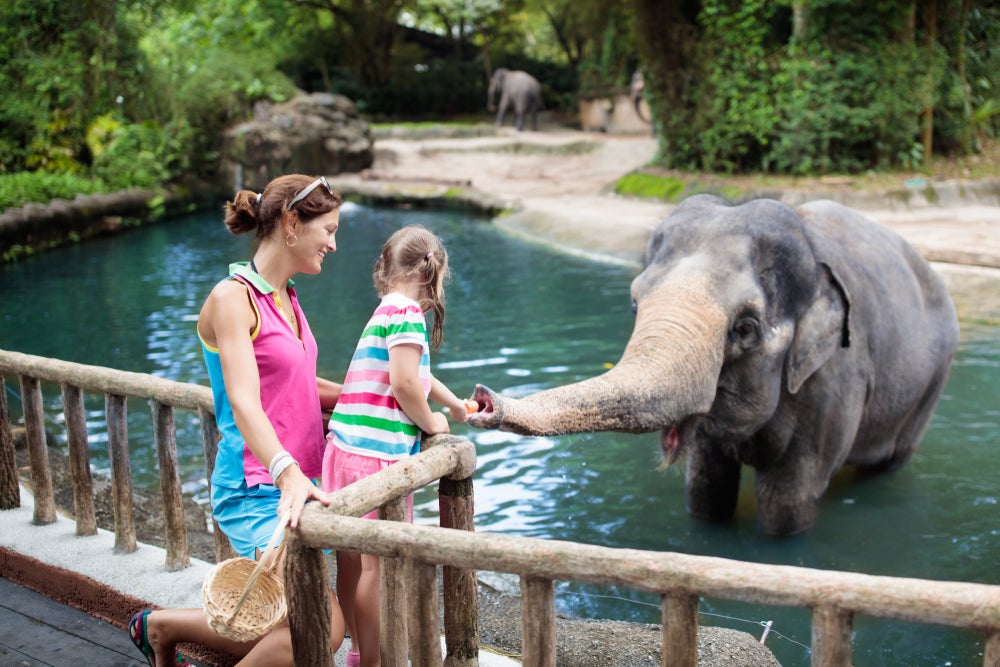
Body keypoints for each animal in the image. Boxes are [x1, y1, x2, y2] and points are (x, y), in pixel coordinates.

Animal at [470, 194, 960, 536]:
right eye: (634, 304)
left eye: (745, 328)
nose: (482, 399)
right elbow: (705, 490)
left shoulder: (834, 381)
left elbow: (786, 501)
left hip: (932, 381)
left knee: (891, 461)